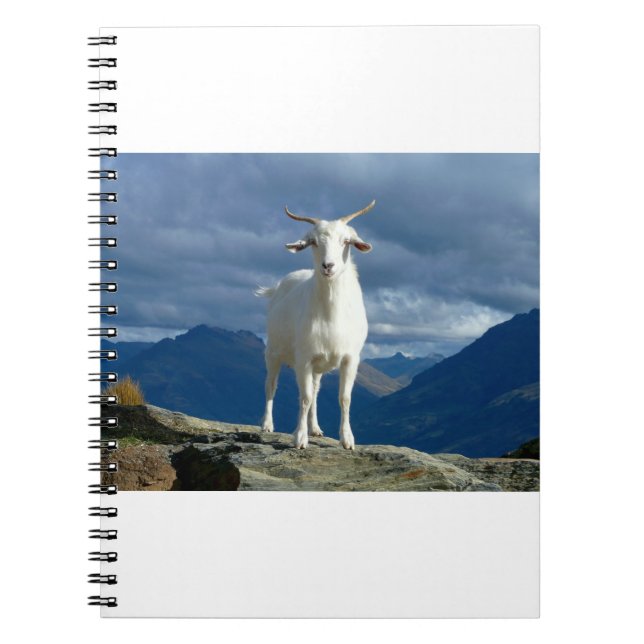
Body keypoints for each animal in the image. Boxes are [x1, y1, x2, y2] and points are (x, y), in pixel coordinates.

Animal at [255, 200, 375, 449]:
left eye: (346, 241)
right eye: (313, 242)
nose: (328, 266)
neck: (331, 314)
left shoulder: (350, 358)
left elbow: (344, 398)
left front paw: (347, 439)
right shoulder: (304, 359)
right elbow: (305, 397)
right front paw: (300, 438)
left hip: (319, 366)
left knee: (316, 391)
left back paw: (316, 428)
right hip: (273, 353)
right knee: (271, 385)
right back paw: (267, 425)